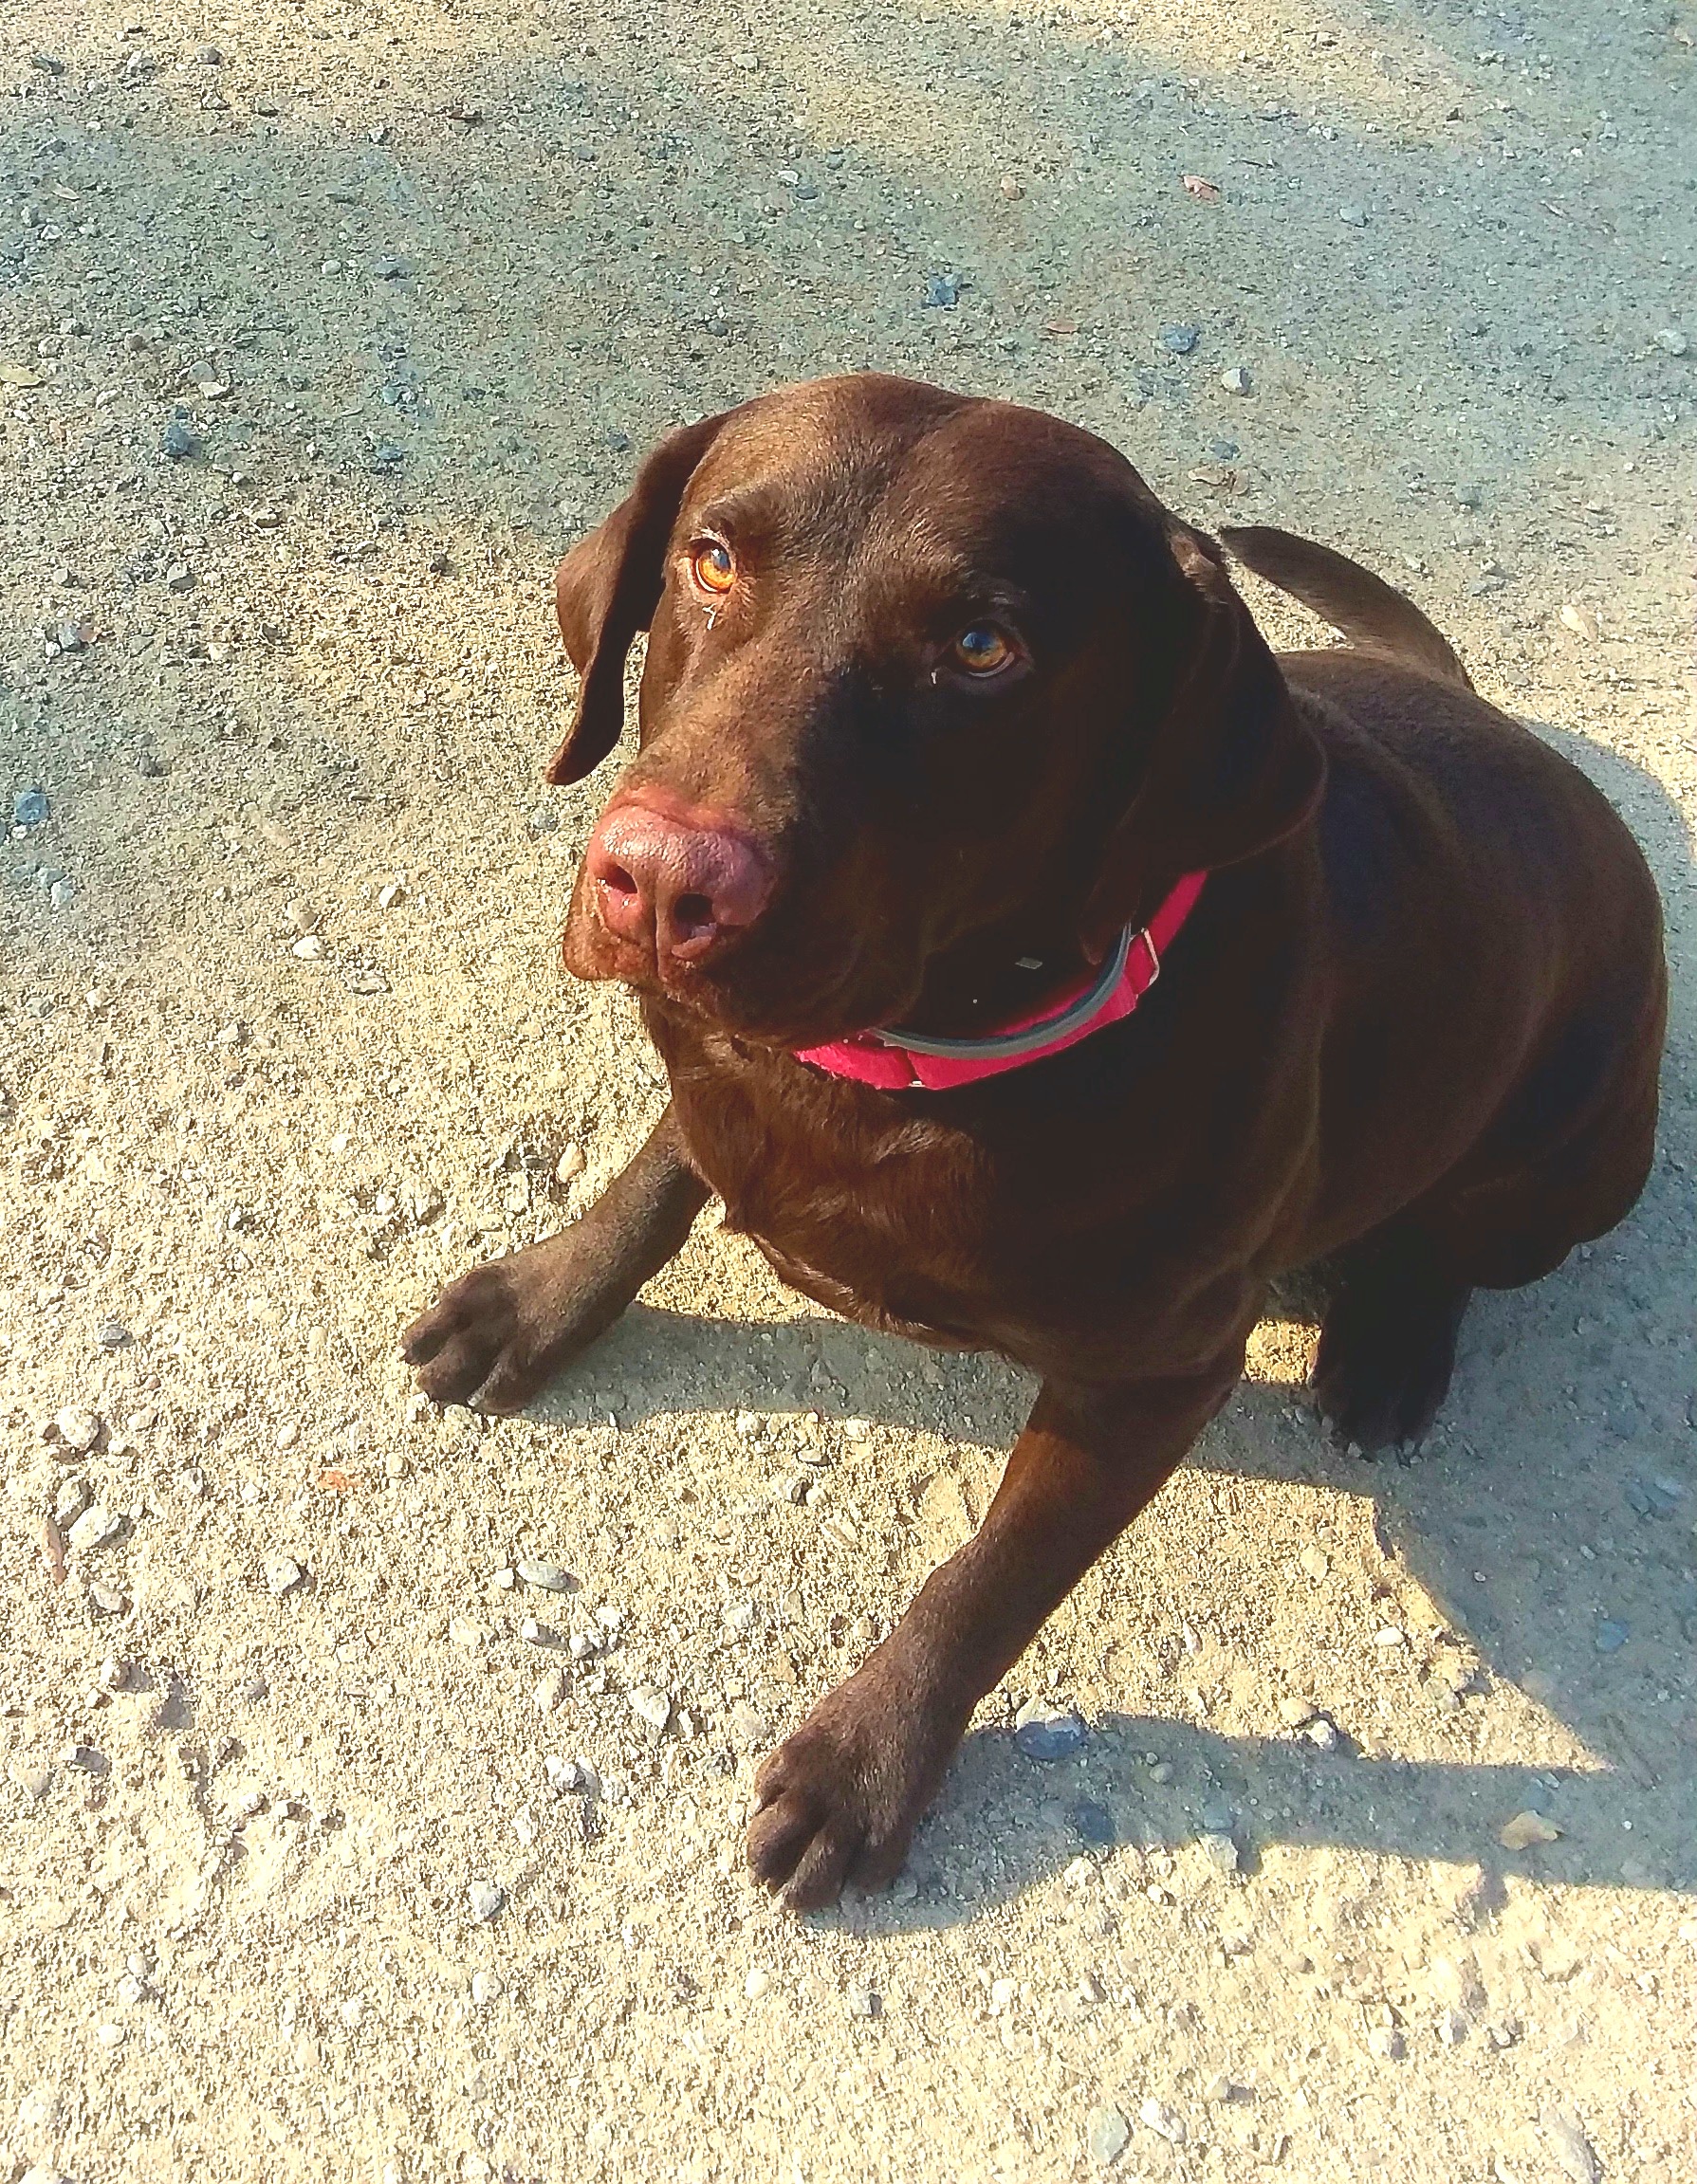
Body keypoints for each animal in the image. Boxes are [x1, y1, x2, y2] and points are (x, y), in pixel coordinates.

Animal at [399, 376, 1669, 1913]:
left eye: (981, 647)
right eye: (710, 558)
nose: (661, 883)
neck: (910, 1064)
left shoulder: (1157, 1377)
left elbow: (992, 1578)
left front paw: (864, 1761)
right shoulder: (719, 1081)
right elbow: (658, 1173)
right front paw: (537, 1297)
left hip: (1574, 1158)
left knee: (1455, 1241)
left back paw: (1387, 1345)